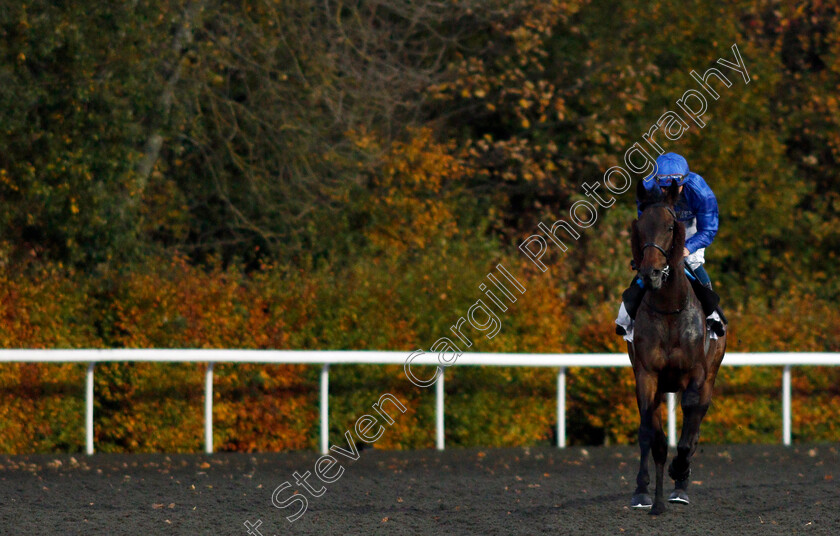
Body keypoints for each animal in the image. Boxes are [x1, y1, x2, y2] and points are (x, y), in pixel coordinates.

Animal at [628, 179, 724, 516]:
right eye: (640, 226)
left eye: (670, 227)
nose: (651, 273)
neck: (669, 308)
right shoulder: (647, 375)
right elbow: (653, 437)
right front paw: (650, 498)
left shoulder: (697, 375)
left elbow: (686, 438)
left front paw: (679, 471)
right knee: (648, 432)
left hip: (710, 376)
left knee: (694, 427)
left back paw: (681, 485)